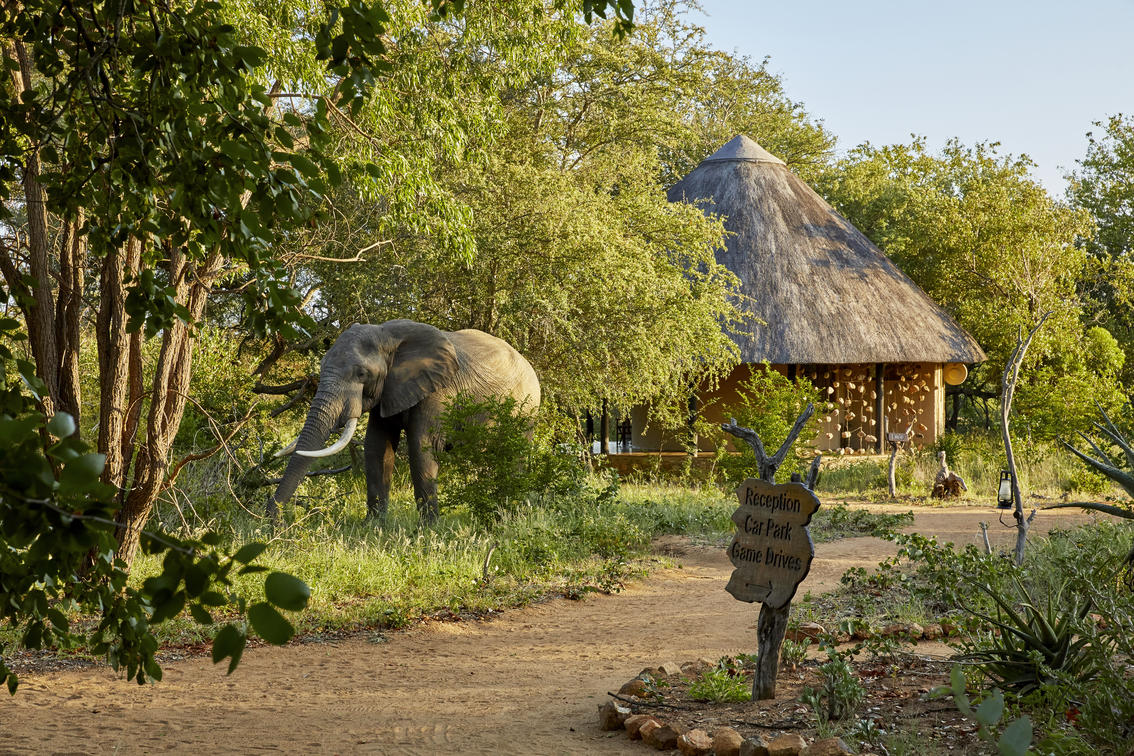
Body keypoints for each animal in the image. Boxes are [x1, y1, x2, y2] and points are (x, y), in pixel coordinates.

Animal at [270, 319, 541, 521]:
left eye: (362, 374)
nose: (273, 524)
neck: (387, 336)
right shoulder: (388, 390)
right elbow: (377, 447)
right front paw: (373, 527)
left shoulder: (438, 391)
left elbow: (422, 447)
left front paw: (429, 531)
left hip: (526, 409)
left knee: (514, 456)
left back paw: (510, 514)